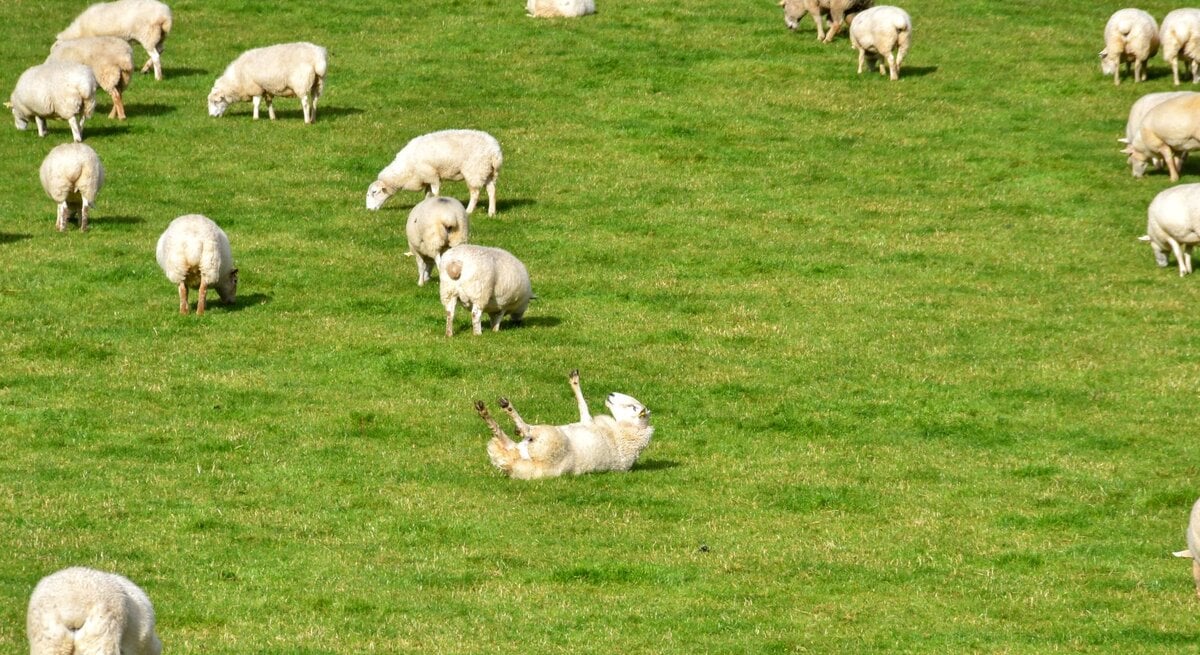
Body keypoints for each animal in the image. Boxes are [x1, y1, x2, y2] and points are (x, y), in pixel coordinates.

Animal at [366, 129, 503, 216]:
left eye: (374, 192)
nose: (368, 210)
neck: (406, 169)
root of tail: (495, 152)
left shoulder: (432, 175)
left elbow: (435, 193)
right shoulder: (425, 179)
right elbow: (427, 194)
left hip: (474, 171)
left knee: (475, 193)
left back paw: (469, 211)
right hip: (489, 172)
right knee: (492, 191)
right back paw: (491, 212)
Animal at [475, 369, 654, 480]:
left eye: (633, 407)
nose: (611, 394)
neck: (627, 434)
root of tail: (514, 464)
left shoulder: (589, 423)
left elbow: (584, 407)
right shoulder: (587, 421)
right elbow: (583, 405)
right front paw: (574, 381)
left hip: (548, 438)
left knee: (528, 429)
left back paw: (508, 410)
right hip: (515, 448)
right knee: (502, 436)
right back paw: (485, 412)